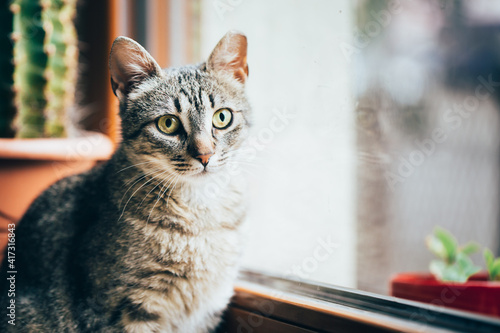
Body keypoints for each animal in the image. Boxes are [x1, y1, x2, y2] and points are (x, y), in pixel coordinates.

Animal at [0, 29, 250, 330]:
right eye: (168, 124)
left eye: (222, 117)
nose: (205, 155)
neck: (200, 216)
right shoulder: (125, 309)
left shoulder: (209, 308)